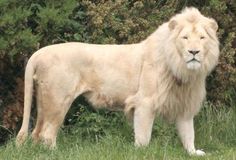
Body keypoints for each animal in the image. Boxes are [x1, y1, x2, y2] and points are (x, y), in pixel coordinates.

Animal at [16, 6, 219, 156]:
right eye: (185, 37)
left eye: (202, 37)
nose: (194, 52)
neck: (182, 69)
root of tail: (39, 52)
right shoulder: (144, 102)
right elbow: (143, 135)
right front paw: (142, 152)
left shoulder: (185, 104)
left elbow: (188, 132)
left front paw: (193, 153)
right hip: (58, 100)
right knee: (47, 133)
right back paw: (54, 153)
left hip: (44, 100)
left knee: (37, 133)